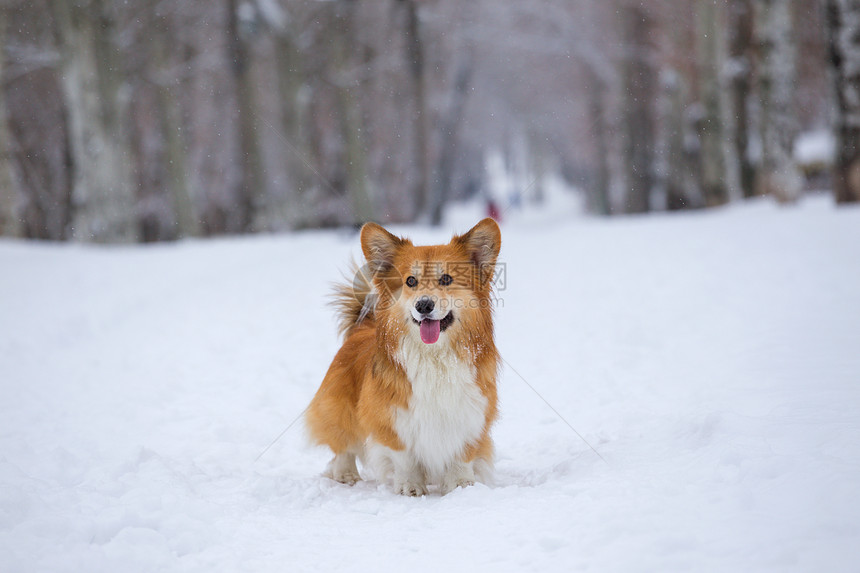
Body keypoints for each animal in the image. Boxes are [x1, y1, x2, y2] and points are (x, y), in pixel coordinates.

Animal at [306, 217, 500, 494]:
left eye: (446, 279)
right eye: (410, 281)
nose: (424, 305)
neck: (435, 356)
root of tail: (363, 326)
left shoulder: (471, 414)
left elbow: (461, 456)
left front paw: (462, 486)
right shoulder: (391, 419)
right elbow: (405, 458)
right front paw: (410, 488)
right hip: (340, 410)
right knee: (343, 446)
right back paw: (346, 475)